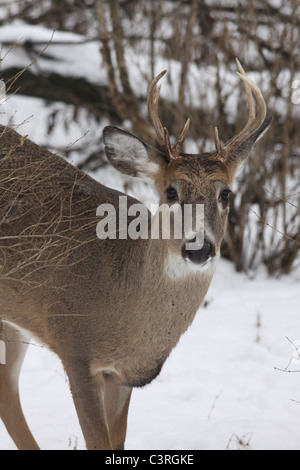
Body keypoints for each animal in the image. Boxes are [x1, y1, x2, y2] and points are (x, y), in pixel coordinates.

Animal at [0, 60, 270, 450]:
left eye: (226, 194)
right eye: (171, 191)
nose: (199, 248)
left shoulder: (123, 376)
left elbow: (117, 442)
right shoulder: (74, 347)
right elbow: (99, 442)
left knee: (6, 388)